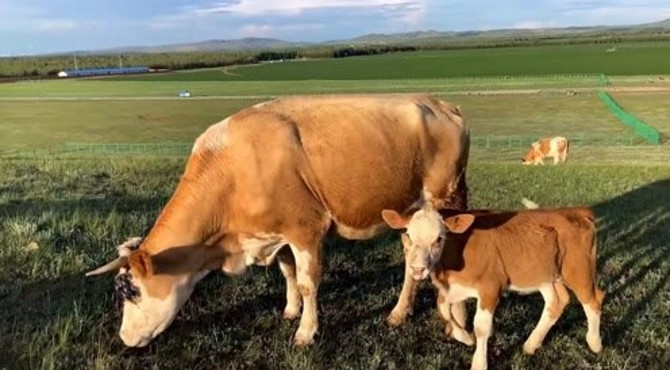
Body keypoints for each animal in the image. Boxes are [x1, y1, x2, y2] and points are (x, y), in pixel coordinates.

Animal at [85, 94, 472, 348]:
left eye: (130, 291)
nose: (124, 338)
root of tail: (441, 105)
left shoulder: (305, 229)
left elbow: (307, 282)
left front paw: (305, 331)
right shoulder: (277, 232)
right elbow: (287, 272)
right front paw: (290, 310)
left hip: (445, 200)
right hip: (409, 215)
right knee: (411, 260)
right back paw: (399, 312)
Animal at [380, 205, 608, 370]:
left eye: (439, 239)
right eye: (408, 235)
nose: (417, 269)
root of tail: (577, 211)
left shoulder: (490, 288)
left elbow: (481, 326)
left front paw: (478, 363)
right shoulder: (453, 288)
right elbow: (443, 309)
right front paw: (465, 337)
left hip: (578, 270)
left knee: (593, 300)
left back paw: (595, 342)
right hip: (546, 275)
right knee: (557, 302)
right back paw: (531, 344)